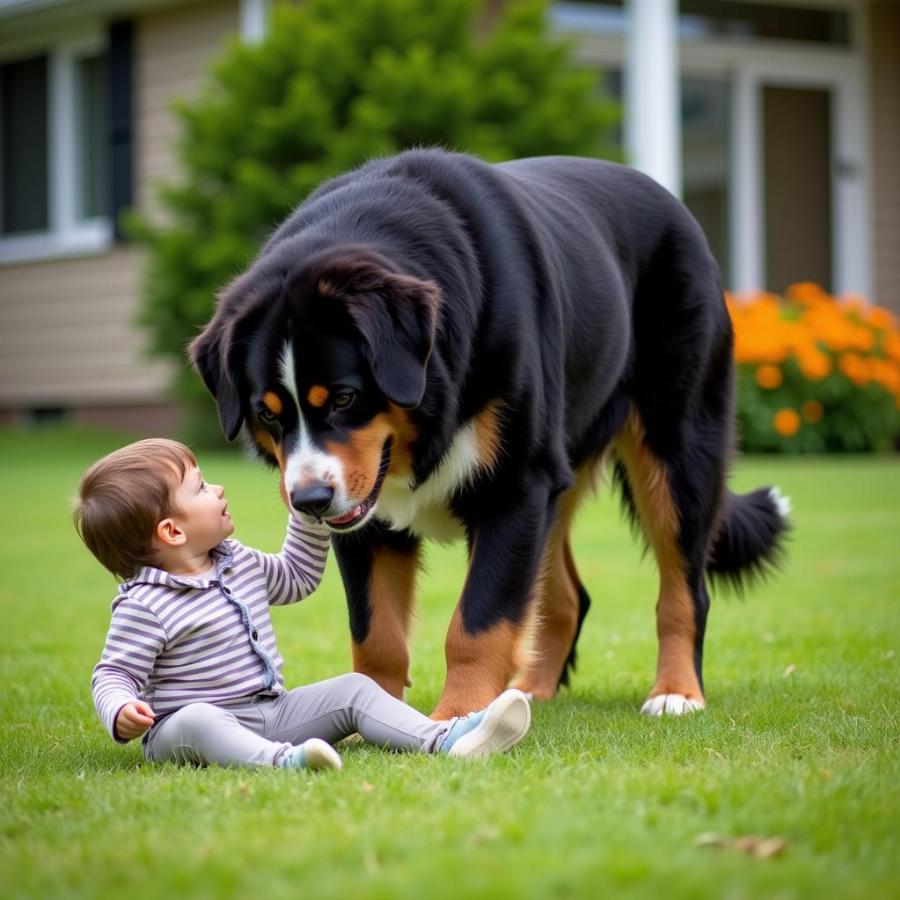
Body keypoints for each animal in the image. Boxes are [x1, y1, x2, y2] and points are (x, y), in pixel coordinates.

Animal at [192, 151, 788, 720]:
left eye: (343, 398)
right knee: (567, 599)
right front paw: (370, 711)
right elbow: (376, 634)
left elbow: (478, 622)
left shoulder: (515, 486)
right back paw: (528, 692)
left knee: (683, 591)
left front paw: (460, 715)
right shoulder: (370, 521)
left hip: (677, 449)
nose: (311, 500)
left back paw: (675, 694)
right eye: (269, 413)